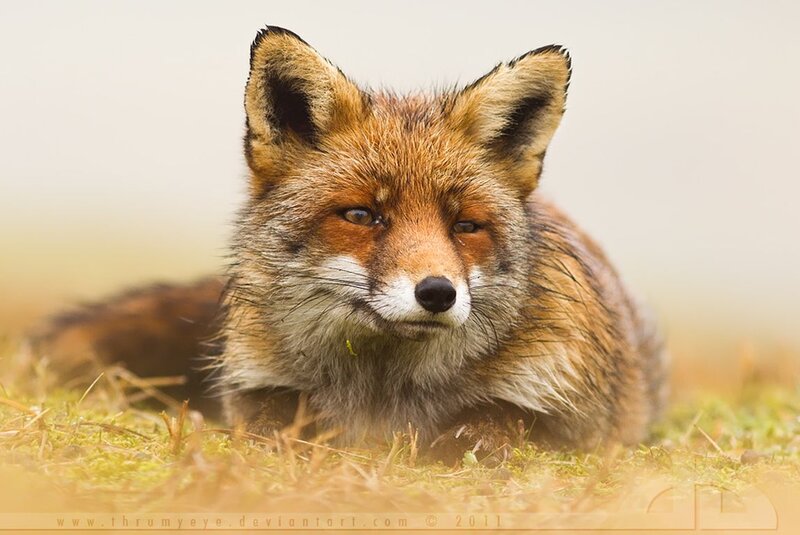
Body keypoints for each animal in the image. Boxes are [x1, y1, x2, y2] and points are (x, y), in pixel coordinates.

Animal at [30, 26, 668, 463]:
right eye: (362, 215)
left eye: (465, 225)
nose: (437, 293)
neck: (382, 396)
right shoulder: (256, 382)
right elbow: (271, 423)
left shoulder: (574, 409)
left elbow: (503, 423)